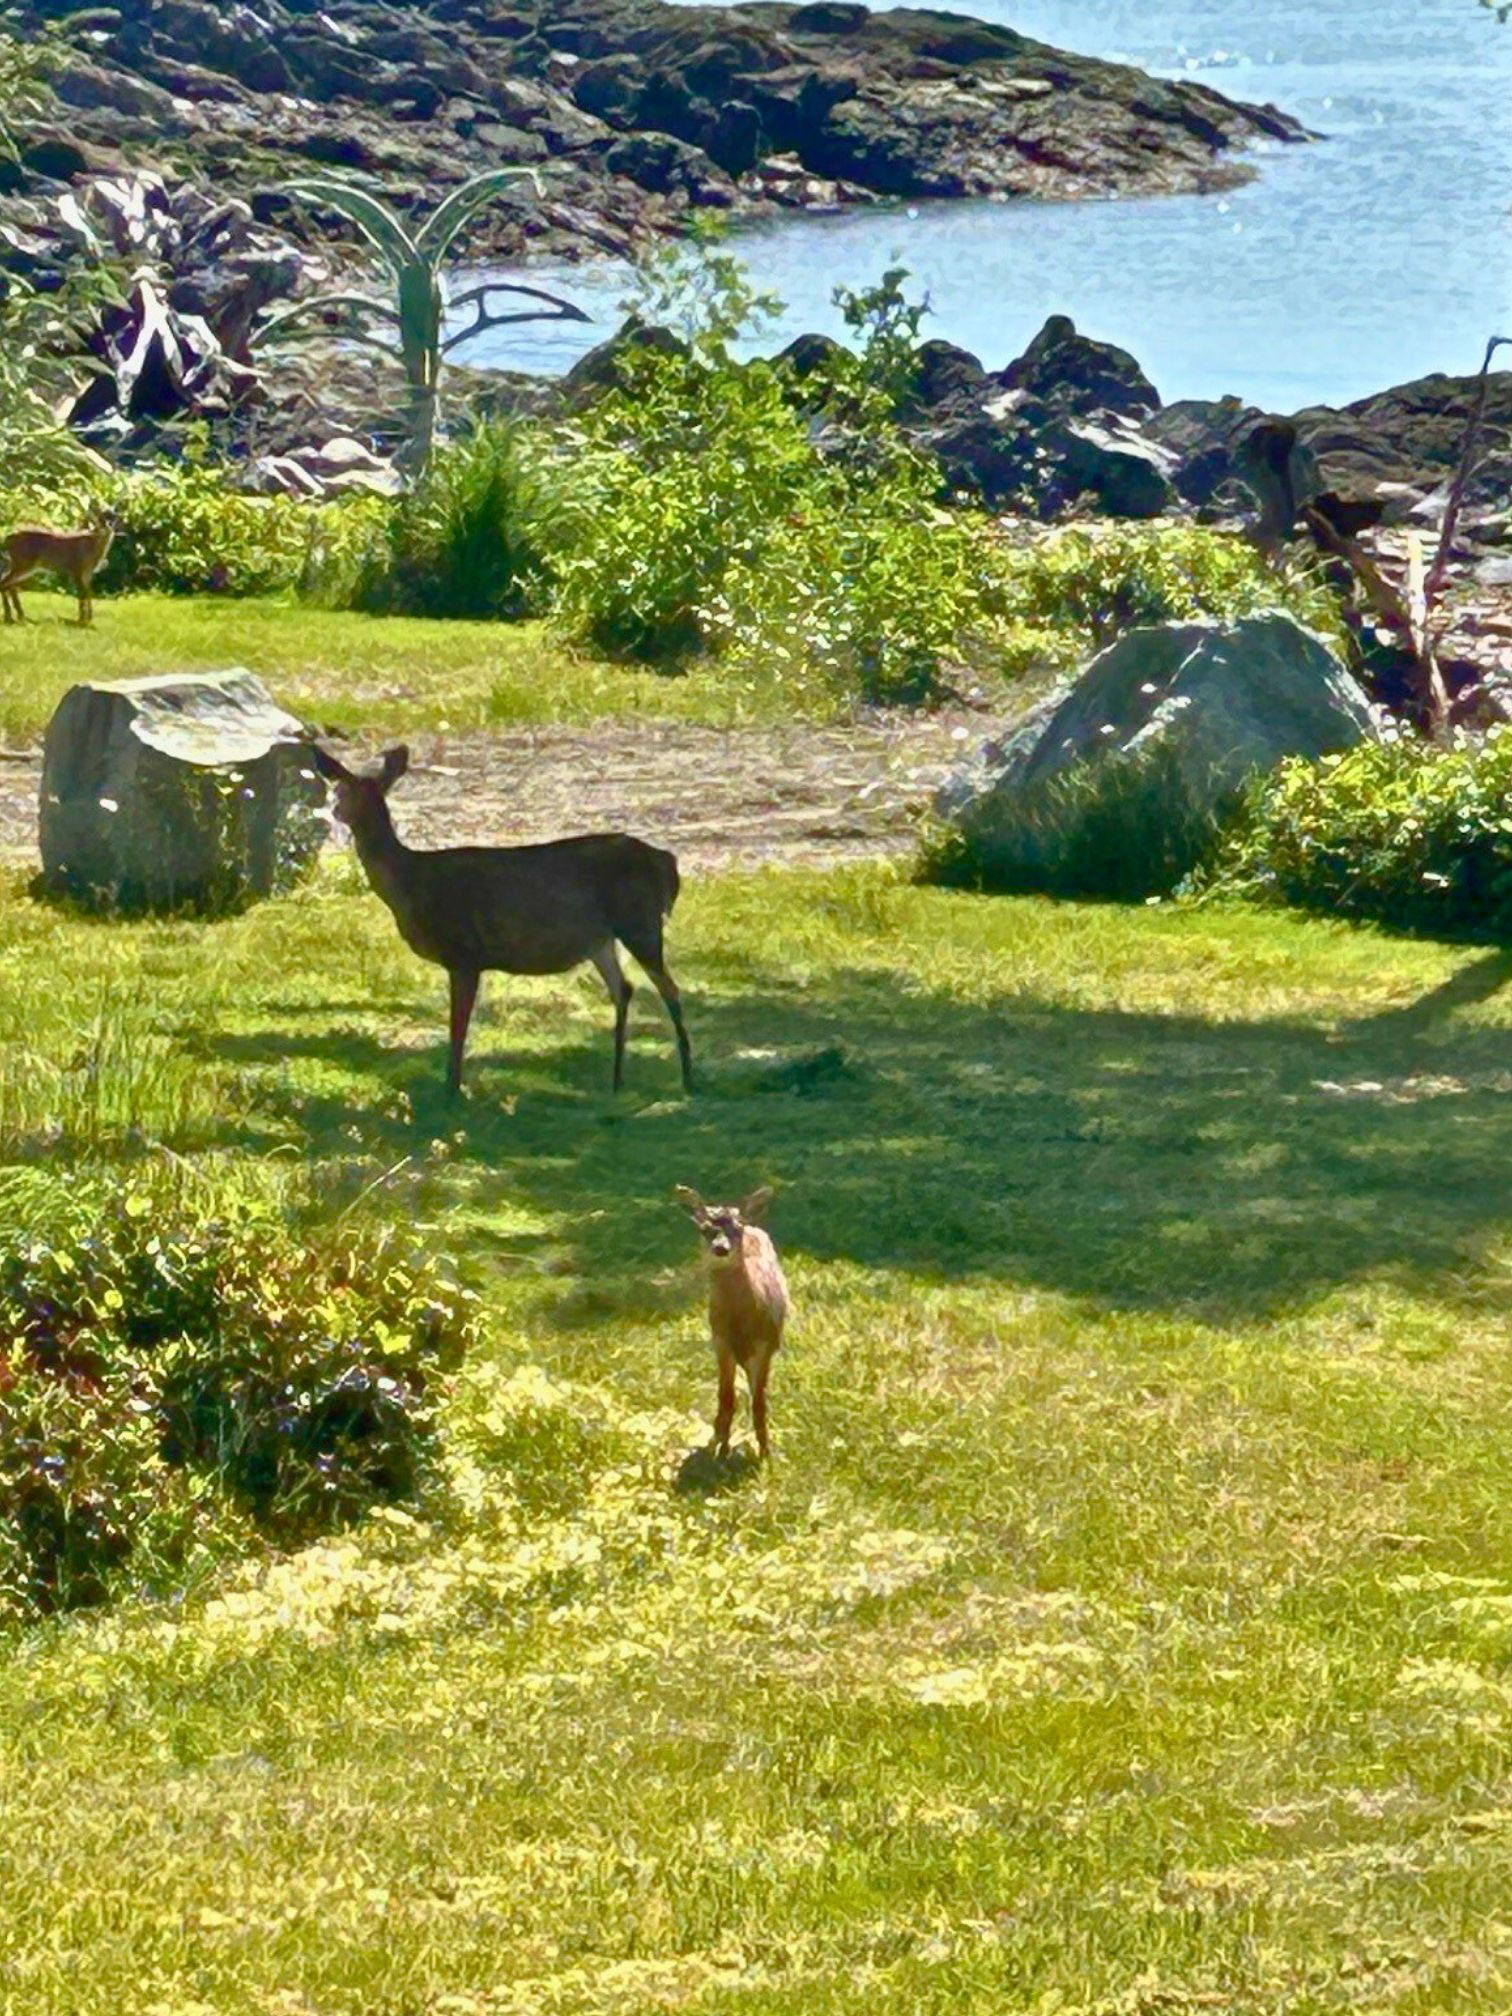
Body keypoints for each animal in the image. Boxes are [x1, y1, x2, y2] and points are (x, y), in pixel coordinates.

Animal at [310, 743, 693, 1098]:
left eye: (342, 789)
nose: (333, 810)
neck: (412, 884)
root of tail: (667, 861)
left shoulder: (464, 953)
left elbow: (458, 1027)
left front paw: (452, 1090)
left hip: (639, 921)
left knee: (669, 988)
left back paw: (689, 1081)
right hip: (600, 940)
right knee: (623, 989)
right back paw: (616, 1082)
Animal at [675, 1185, 789, 1461]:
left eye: (737, 1228)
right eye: (704, 1229)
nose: (721, 1248)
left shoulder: (767, 1345)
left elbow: (759, 1401)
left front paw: (765, 1452)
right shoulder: (721, 1342)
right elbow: (726, 1397)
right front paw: (721, 1448)